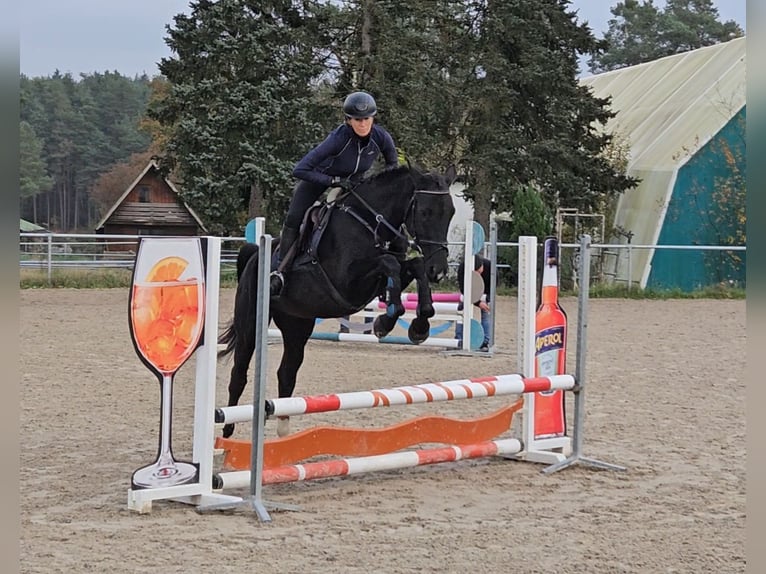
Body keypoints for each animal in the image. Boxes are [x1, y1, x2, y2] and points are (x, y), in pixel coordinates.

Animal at [218, 164, 456, 438]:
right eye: (426, 212)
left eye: (451, 213)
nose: (438, 271)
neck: (371, 223)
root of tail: (255, 255)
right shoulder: (348, 282)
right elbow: (389, 263)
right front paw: (385, 322)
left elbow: (412, 265)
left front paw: (419, 325)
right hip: (251, 324)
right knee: (239, 373)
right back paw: (226, 430)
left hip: (297, 324)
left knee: (287, 371)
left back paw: (283, 428)